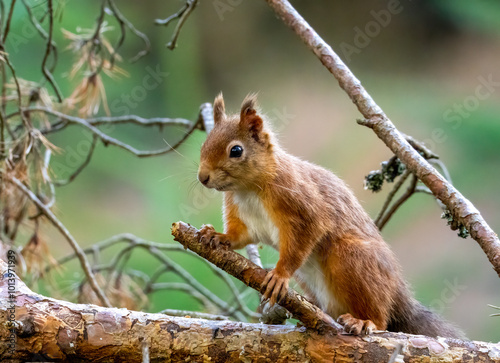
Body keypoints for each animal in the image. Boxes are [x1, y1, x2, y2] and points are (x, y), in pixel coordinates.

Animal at [196, 93, 464, 338]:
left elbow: (303, 239)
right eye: (204, 143)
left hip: (353, 258)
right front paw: (217, 236)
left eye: (236, 150)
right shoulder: (243, 215)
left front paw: (280, 276)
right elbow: (240, 236)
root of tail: (399, 296)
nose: (202, 177)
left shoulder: (303, 206)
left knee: (381, 317)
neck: (248, 189)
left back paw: (365, 322)